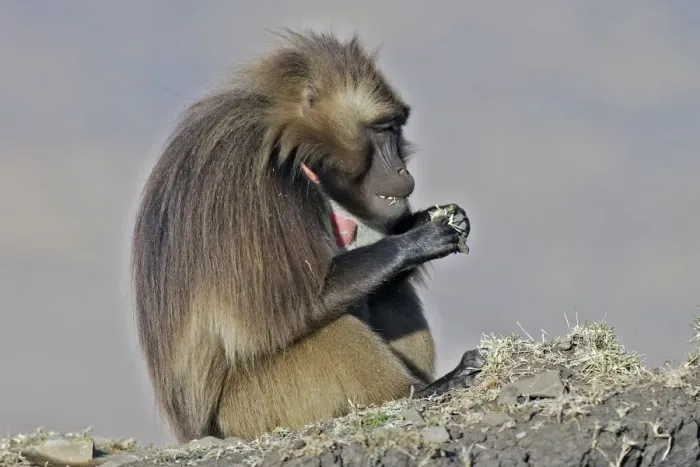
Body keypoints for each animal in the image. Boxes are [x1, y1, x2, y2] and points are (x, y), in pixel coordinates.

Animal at [130, 29, 486, 443]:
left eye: (397, 130)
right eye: (384, 130)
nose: (402, 170)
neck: (287, 139)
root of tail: (198, 433)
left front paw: (437, 218)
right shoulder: (250, 183)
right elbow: (298, 301)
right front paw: (420, 240)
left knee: (389, 292)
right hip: (253, 406)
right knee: (327, 324)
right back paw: (426, 389)